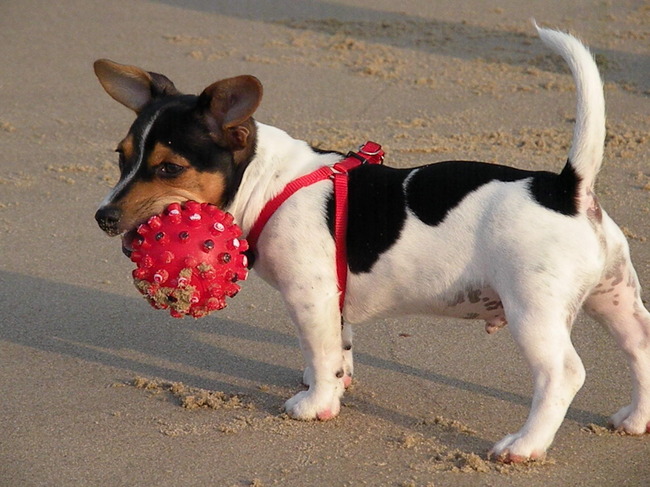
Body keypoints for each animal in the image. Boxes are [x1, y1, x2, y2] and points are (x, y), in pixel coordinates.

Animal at [93, 23, 644, 466]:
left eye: (169, 168)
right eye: (121, 157)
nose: (103, 217)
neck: (267, 182)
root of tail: (567, 189)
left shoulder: (309, 296)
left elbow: (318, 350)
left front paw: (316, 405)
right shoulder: (333, 300)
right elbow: (336, 349)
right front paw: (334, 385)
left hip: (533, 311)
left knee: (563, 376)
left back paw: (524, 446)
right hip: (614, 298)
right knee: (640, 346)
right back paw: (636, 420)